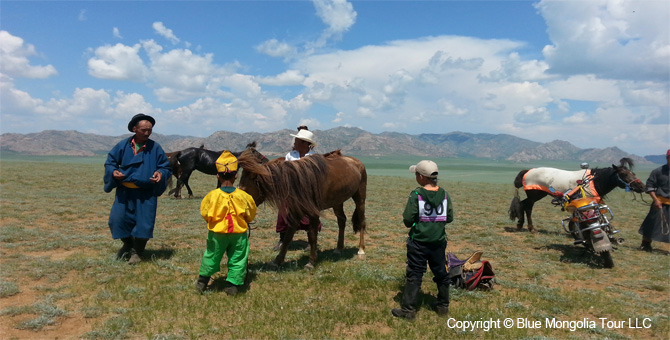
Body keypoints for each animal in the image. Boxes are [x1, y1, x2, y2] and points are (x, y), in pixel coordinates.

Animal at [239, 147, 370, 270]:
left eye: (244, 189)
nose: (242, 211)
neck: (300, 181)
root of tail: (357, 162)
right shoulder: (295, 211)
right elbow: (288, 236)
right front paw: (277, 261)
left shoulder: (313, 213)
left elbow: (312, 236)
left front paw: (311, 262)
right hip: (337, 201)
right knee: (341, 221)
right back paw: (338, 249)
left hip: (360, 198)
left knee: (361, 221)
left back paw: (361, 250)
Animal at [512, 158, 648, 232]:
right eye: (624, 174)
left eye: (633, 173)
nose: (642, 187)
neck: (593, 181)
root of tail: (528, 171)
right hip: (535, 196)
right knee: (527, 207)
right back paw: (530, 228)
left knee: (524, 204)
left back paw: (521, 225)